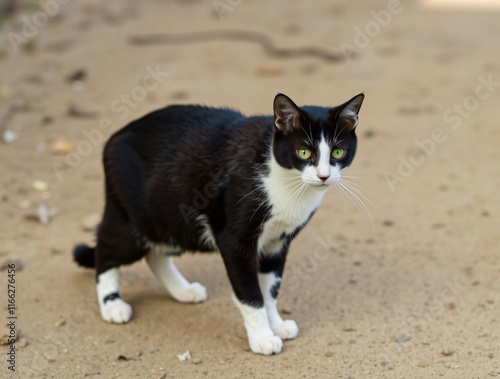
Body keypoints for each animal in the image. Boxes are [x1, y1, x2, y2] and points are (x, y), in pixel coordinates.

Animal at [73, 93, 364, 356]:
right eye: (304, 152)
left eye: (338, 152)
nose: (324, 176)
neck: (286, 183)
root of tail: (114, 137)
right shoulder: (234, 240)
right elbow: (251, 293)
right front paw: (262, 338)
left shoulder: (278, 242)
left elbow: (270, 289)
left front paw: (276, 324)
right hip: (136, 219)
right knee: (106, 247)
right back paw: (112, 305)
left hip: (169, 219)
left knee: (155, 253)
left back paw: (183, 291)